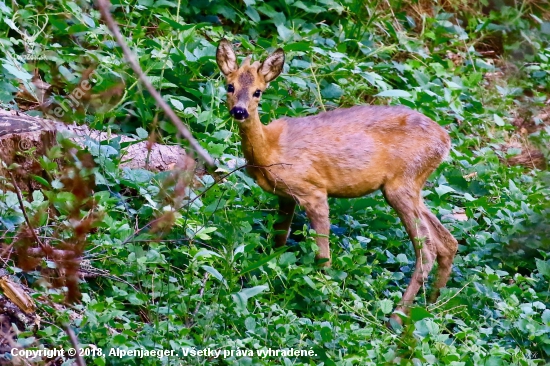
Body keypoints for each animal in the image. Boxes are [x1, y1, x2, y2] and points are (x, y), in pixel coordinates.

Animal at [218, 38, 460, 322]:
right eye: (230, 86)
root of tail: (445, 141)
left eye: (258, 92)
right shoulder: (285, 195)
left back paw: (397, 316)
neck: (270, 150)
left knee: (428, 247)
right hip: (413, 185)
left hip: (401, 183)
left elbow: (323, 254)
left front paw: (325, 302)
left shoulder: (313, 190)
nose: (239, 111)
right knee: (448, 241)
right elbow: (279, 239)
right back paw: (432, 305)